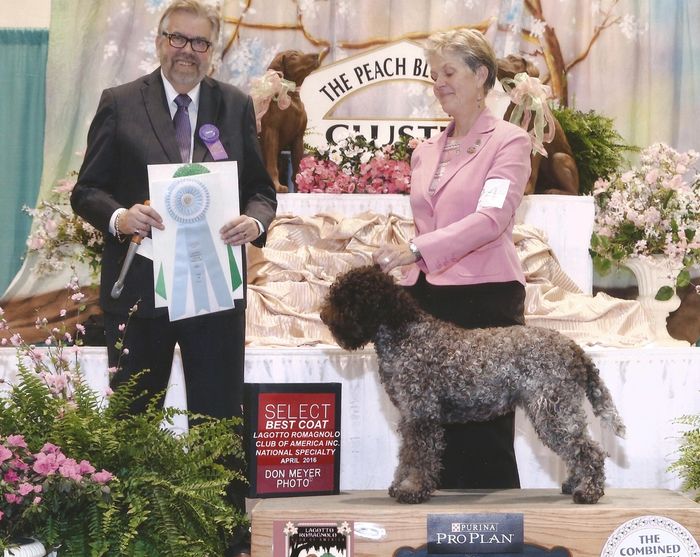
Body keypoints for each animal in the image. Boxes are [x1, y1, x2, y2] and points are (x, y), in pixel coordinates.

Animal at [320, 264, 628, 504]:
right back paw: (574, 484)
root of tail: (574, 348)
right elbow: (407, 455)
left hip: (552, 411)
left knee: (588, 450)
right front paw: (400, 485)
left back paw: (588, 491)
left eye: (348, 299)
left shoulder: (421, 414)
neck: (406, 335)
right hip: (559, 411)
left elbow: (419, 456)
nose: (323, 316)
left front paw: (412, 490)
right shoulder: (409, 416)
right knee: (577, 448)